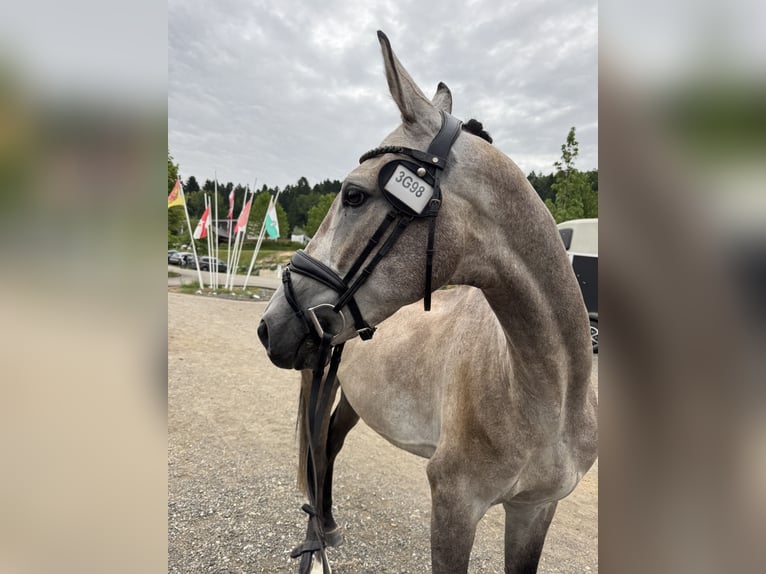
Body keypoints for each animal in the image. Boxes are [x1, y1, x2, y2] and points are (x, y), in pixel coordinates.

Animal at [257, 31, 598, 574]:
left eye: (353, 195)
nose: (271, 324)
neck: (547, 394)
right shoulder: (454, 505)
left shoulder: (535, 509)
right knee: (320, 449)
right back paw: (321, 527)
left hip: (353, 396)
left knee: (332, 442)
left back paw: (326, 524)